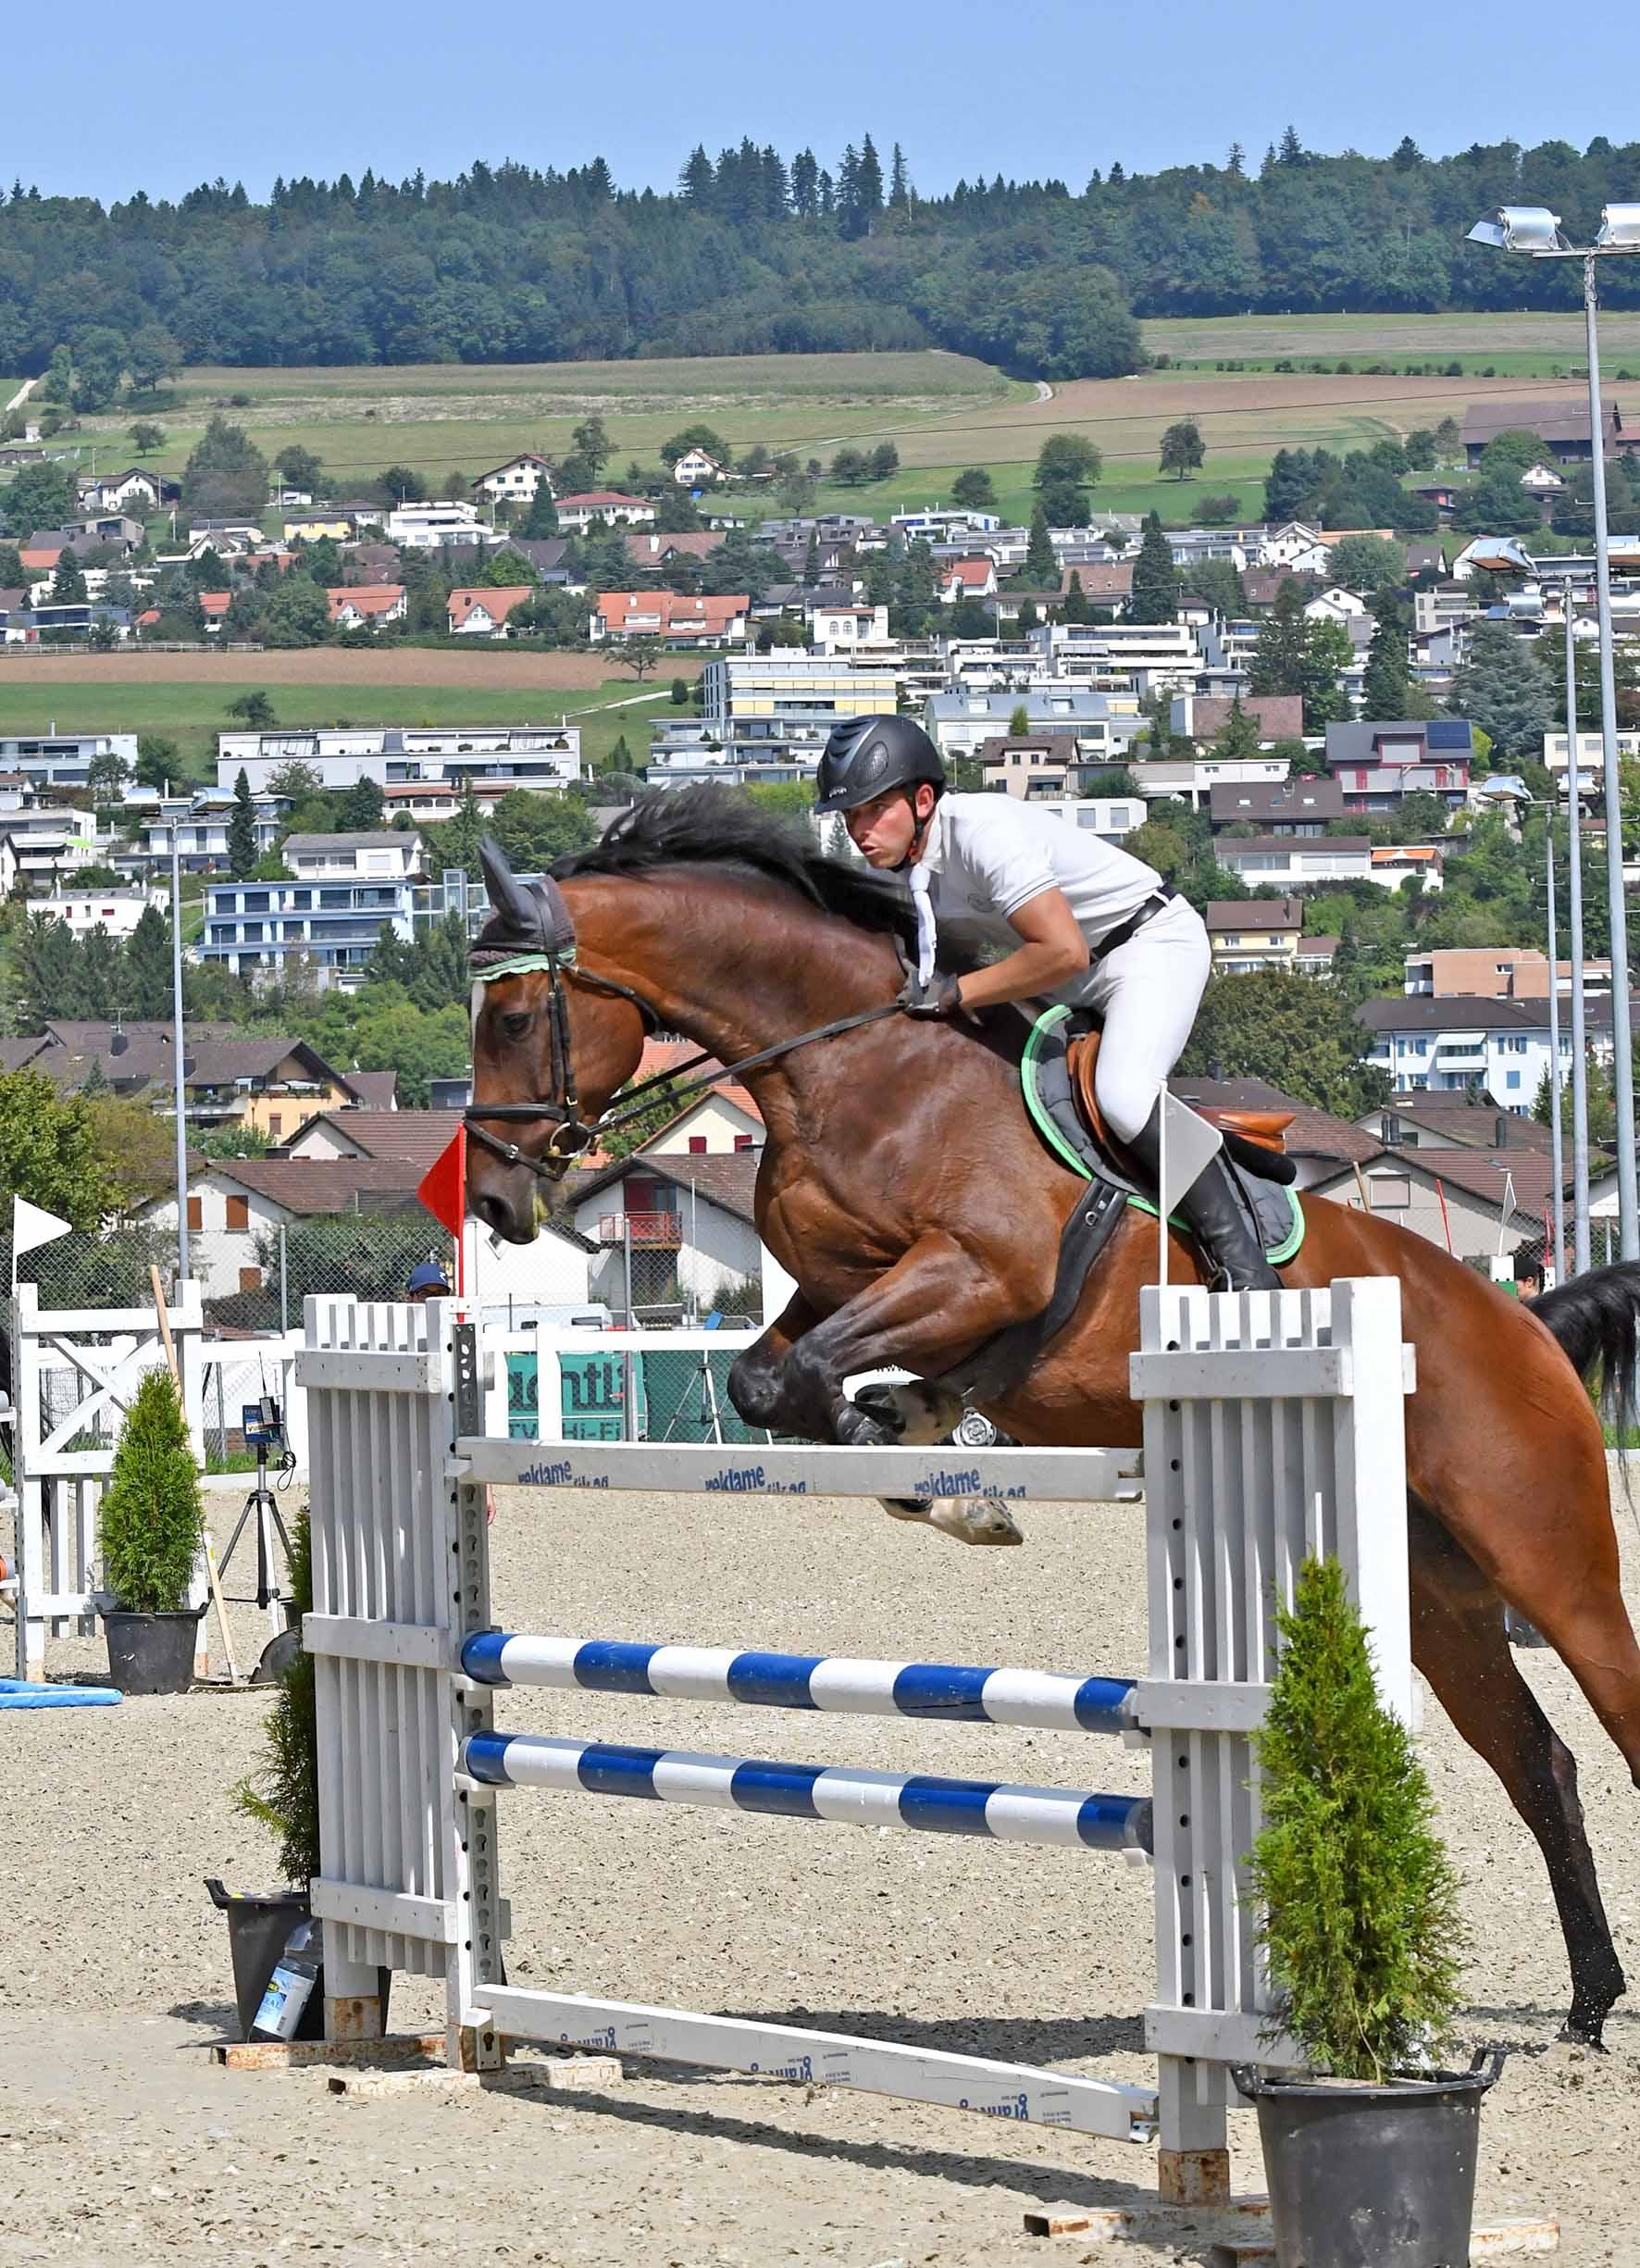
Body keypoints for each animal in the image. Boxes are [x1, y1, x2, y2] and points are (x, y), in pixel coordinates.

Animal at [465, 789, 1640, 2050]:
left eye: (518, 1012)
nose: (491, 1198)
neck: (852, 1062)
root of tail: (1520, 1319)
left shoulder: (981, 1274)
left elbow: (818, 1377)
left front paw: (925, 1453)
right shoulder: (833, 1289)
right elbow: (768, 1383)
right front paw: (926, 1451)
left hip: (1543, 1550)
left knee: (1614, 1704)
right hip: (1435, 1592)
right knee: (1537, 1760)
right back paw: (1587, 1999)